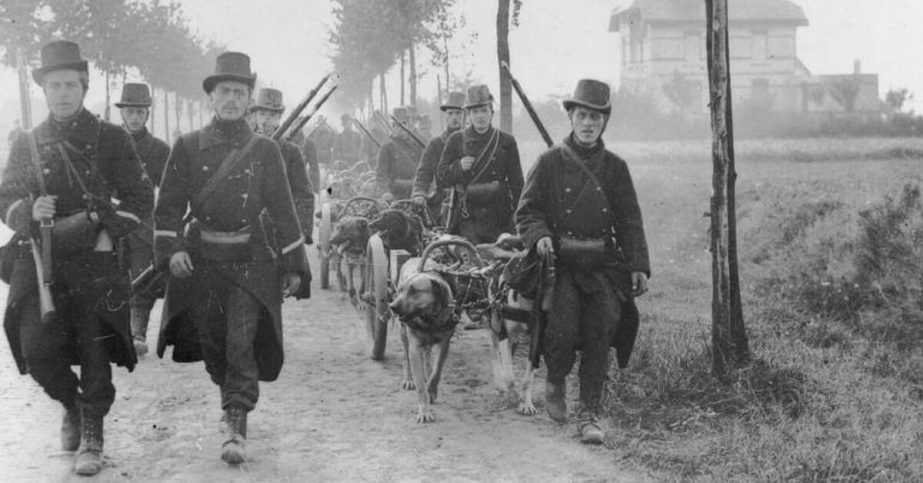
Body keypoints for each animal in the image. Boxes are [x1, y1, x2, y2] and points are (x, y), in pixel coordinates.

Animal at [390, 260, 458, 424]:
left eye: (414, 291)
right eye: (401, 291)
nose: (392, 306)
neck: (429, 319)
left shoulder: (444, 343)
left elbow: (437, 371)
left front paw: (431, 389)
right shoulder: (415, 348)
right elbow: (420, 385)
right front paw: (424, 411)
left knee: (427, 356)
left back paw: (427, 371)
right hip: (403, 334)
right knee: (406, 358)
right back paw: (408, 379)